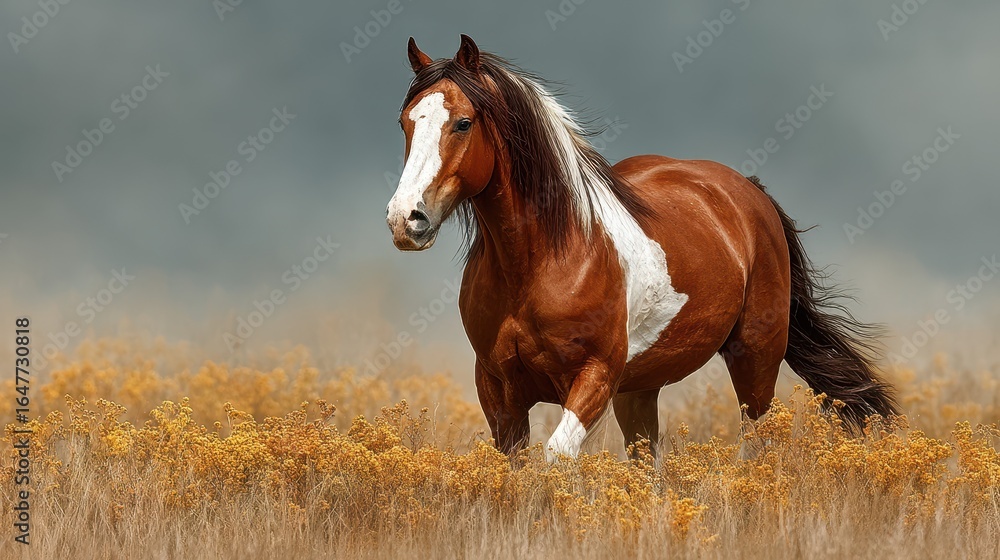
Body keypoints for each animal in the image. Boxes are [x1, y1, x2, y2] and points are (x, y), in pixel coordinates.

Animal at [386, 35, 897, 461]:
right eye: (405, 123)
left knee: (758, 445)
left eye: (463, 123)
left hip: (755, 362)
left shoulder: (594, 378)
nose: (405, 218)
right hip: (640, 389)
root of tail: (748, 193)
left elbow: (555, 458)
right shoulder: (497, 389)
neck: (540, 261)